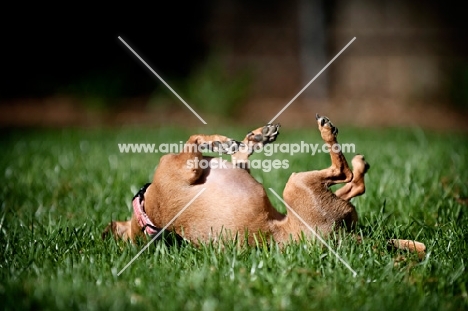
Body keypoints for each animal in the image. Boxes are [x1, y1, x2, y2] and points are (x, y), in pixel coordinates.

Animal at [104, 116, 426, 258]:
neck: (145, 215)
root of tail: (338, 240)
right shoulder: (189, 165)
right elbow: (194, 138)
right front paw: (220, 141)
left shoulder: (234, 167)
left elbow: (237, 152)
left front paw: (256, 136)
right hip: (296, 185)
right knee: (344, 175)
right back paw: (329, 134)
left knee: (352, 184)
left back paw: (359, 163)